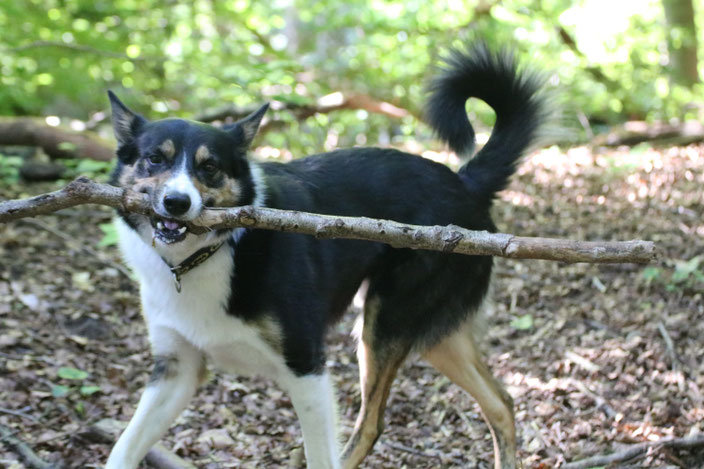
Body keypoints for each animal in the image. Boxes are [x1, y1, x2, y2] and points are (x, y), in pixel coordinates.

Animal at [104, 42, 544, 466]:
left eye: (209, 167)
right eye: (154, 159)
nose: (177, 203)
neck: (209, 253)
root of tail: (464, 182)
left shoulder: (306, 369)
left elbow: (322, 454)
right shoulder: (175, 373)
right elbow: (121, 451)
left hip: (384, 325)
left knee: (372, 425)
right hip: (436, 336)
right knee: (501, 403)